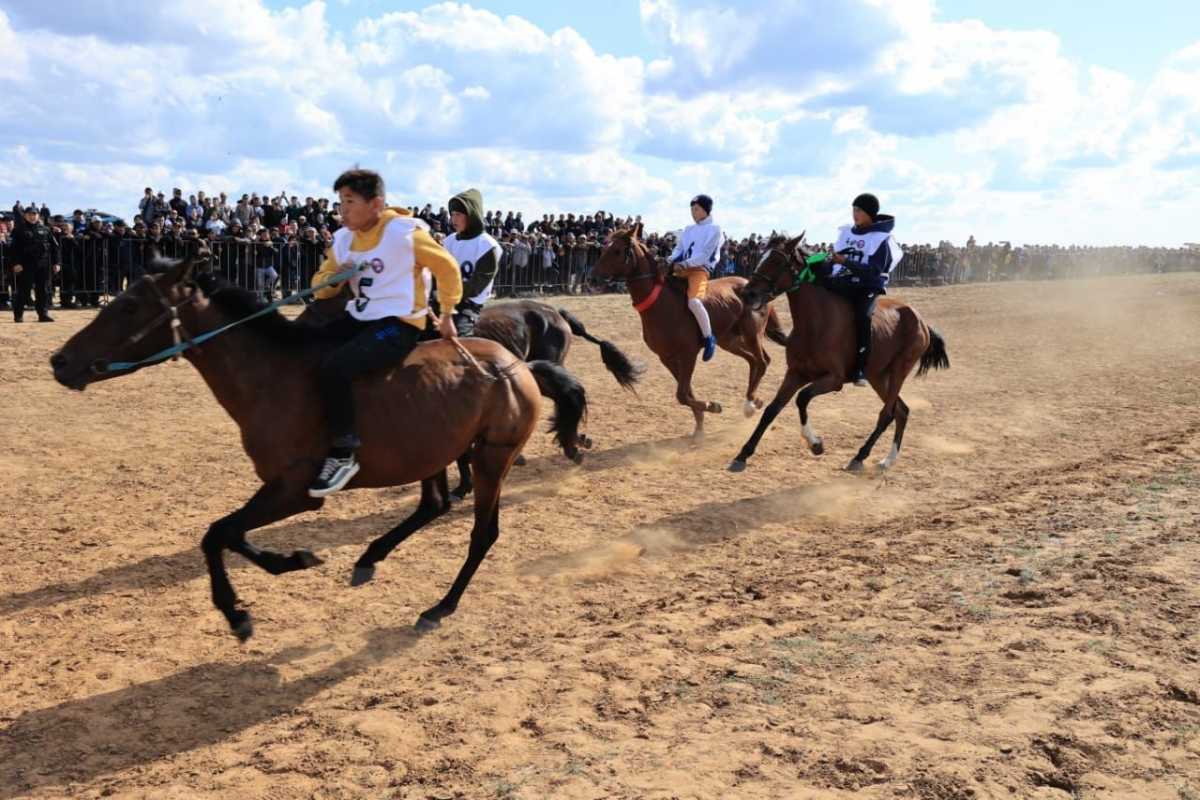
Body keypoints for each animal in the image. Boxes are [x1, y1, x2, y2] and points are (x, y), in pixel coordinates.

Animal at [46, 253, 552, 642]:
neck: (273, 376)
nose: (60, 361)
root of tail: (516, 366)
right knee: (434, 504)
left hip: (491, 457)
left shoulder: (296, 490)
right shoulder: (280, 488)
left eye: (129, 305)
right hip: (434, 451)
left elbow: (218, 533)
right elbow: (226, 534)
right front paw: (288, 563)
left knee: (482, 533)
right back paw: (369, 559)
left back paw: (438, 607)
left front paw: (240, 609)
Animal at [588, 221, 787, 441]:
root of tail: (750, 285)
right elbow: (686, 393)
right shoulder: (667, 358)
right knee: (753, 361)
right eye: (604, 248)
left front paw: (712, 406)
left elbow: (682, 394)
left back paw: (751, 403)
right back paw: (752, 401)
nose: (592, 279)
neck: (661, 303)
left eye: (616, 250)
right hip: (729, 341)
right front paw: (700, 425)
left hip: (752, 335)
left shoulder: (688, 354)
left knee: (762, 361)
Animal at [724, 232, 950, 474]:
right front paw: (743, 454)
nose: (747, 293)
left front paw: (815, 443)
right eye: (761, 257)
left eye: (777, 261)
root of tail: (921, 321)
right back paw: (887, 459)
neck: (816, 323)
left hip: (900, 370)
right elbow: (772, 409)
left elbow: (802, 398)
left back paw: (860, 457)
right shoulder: (795, 373)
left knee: (887, 414)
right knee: (901, 411)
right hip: (879, 376)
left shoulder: (834, 380)